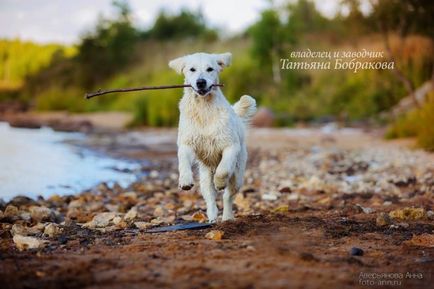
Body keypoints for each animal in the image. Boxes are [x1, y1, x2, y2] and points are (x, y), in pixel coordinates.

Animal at [169, 52, 258, 220]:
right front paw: (185, 180)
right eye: (192, 69)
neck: (204, 108)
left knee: (228, 196)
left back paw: (227, 217)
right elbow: (183, 161)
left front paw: (220, 182)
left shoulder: (230, 145)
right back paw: (211, 217)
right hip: (205, 175)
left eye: (210, 69)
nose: (201, 82)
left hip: (237, 175)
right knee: (210, 197)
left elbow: (223, 170)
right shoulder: (187, 143)